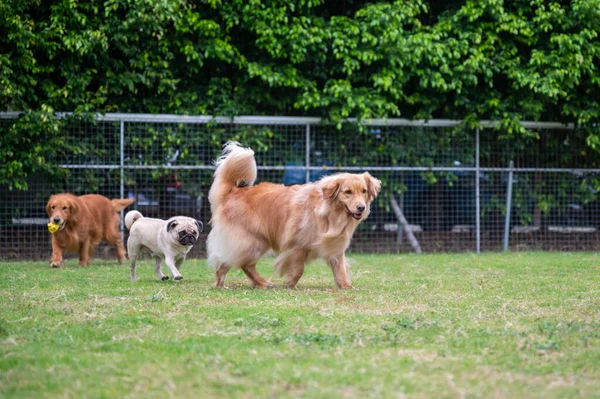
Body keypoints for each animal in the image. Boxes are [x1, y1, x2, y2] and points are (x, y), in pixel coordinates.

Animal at [209, 142, 382, 290]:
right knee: (234, 263)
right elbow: (299, 269)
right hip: (251, 241)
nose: (361, 207)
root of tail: (233, 191)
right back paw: (226, 284)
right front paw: (290, 284)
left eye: (364, 191)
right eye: (348, 192)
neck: (330, 214)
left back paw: (255, 283)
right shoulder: (297, 244)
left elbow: (340, 269)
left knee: (241, 264)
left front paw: (346, 286)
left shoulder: (335, 246)